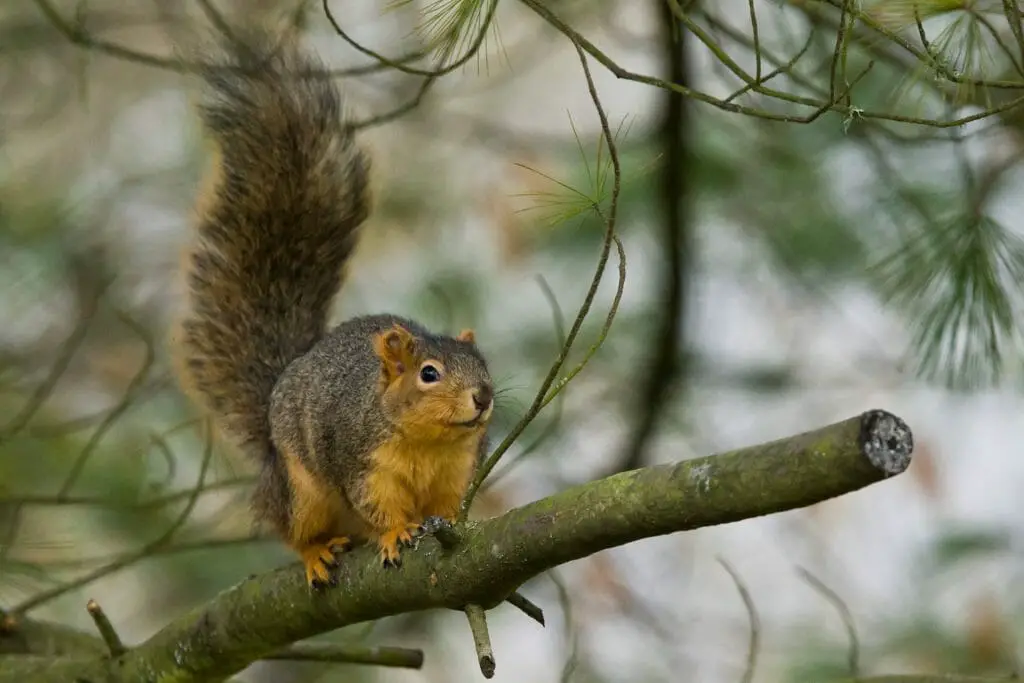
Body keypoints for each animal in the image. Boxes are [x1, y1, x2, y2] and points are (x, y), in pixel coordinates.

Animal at [171, 32, 495, 589]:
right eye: (429, 373)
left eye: (485, 366)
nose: (483, 396)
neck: (429, 444)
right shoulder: (361, 463)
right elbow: (378, 506)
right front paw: (394, 533)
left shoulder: (458, 472)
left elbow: (448, 508)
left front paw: (451, 528)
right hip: (301, 491)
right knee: (293, 527)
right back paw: (315, 552)